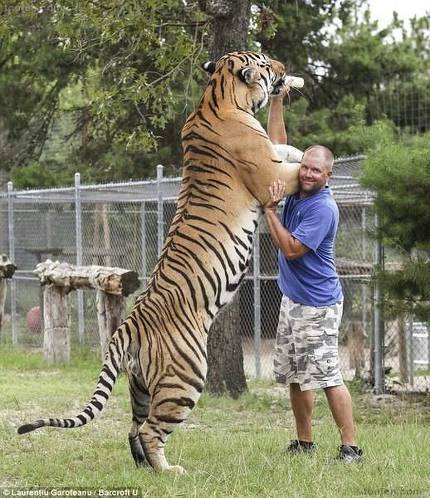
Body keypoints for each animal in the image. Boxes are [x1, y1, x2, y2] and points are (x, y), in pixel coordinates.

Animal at [17, 50, 302, 474]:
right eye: (267, 63)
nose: (284, 70)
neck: (218, 95)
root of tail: (127, 326)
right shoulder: (268, 175)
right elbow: (294, 169)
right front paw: (321, 162)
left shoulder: (270, 154)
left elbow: (286, 150)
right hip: (185, 378)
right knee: (151, 430)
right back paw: (169, 471)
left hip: (140, 386)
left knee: (133, 427)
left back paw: (145, 469)